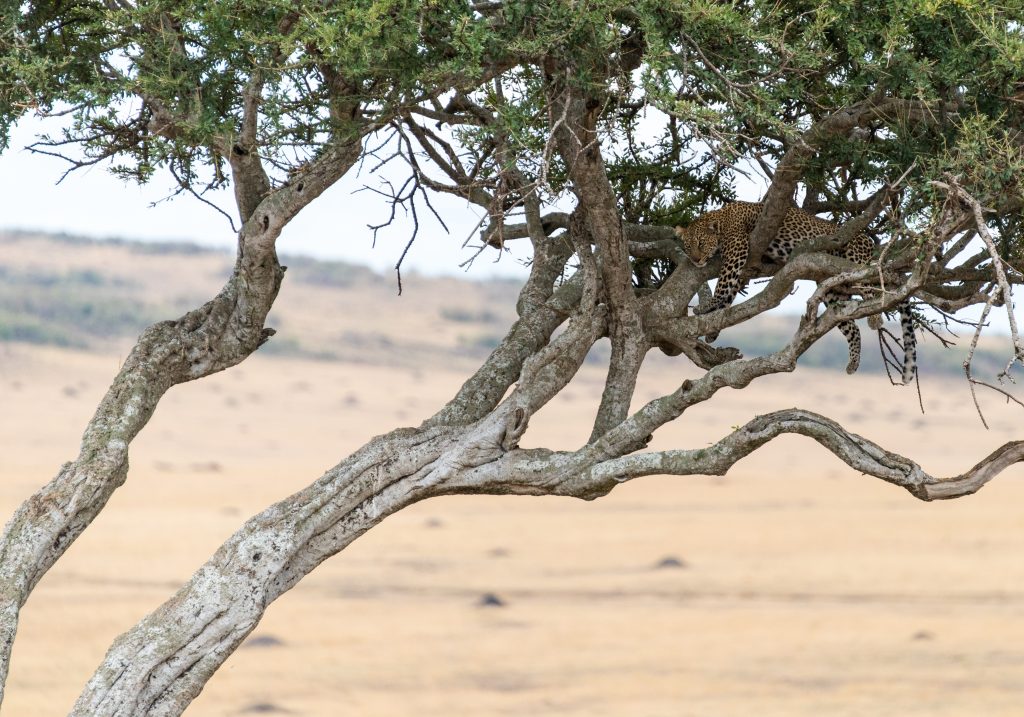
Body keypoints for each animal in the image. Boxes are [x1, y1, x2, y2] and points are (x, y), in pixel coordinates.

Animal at [674, 201, 916, 384]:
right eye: (687, 246)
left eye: (700, 243)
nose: (695, 260)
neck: (721, 220)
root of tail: (869, 241)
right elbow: (729, 292)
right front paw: (713, 328)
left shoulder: (737, 249)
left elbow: (723, 284)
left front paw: (706, 306)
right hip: (832, 291)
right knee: (851, 325)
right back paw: (853, 363)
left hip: (854, 261)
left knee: (871, 288)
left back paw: (875, 319)